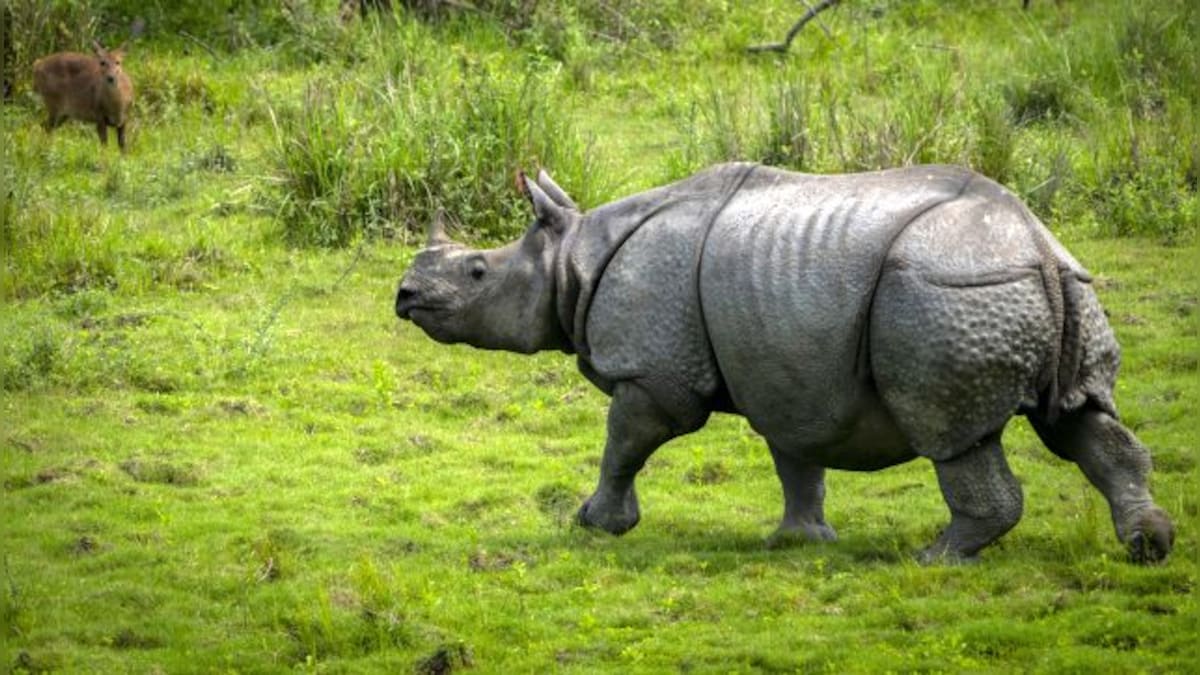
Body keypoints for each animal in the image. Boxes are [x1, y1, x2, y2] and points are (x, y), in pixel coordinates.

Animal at [393, 164, 1171, 562]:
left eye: (476, 273)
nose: (404, 295)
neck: (571, 260)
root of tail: (1035, 242)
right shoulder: (789, 366)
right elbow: (798, 457)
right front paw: (799, 540)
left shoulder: (654, 372)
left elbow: (625, 442)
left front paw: (595, 524)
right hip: (1061, 285)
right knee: (1080, 417)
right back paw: (1148, 545)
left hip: (946, 291)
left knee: (953, 434)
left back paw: (934, 558)